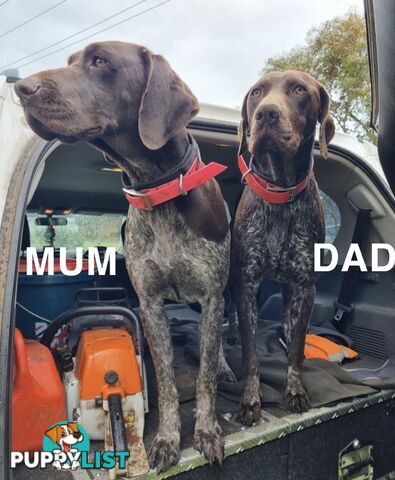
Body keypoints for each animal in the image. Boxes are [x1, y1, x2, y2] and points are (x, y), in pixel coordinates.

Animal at [14, 40, 235, 472]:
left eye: (100, 62)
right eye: (69, 63)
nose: (22, 89)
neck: (160, 189)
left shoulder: (211, 292)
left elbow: (204, 378)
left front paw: (207, 431)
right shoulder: (149, 304)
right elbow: (165, 381)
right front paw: (167, 440)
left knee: (216, 338)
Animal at [230, 70, 336, 424]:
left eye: (299, 90)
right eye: (256, 93)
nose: (266, 113)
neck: (280, 192)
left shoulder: (305, 287)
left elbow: (297, 351)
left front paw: (295, 391)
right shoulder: (246, 284)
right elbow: (250, 355)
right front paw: (250, 401)